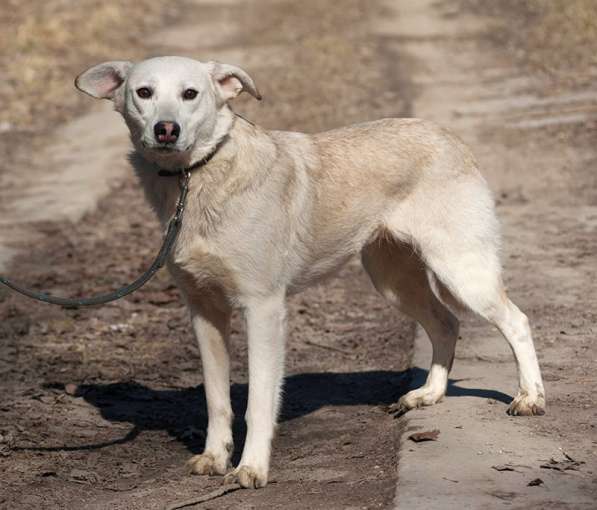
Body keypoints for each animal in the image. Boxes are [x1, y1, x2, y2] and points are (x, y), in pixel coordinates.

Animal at [74, 56, 544, 490]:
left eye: (191, 94)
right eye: (144, 93)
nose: (166, 130)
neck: (198, 179)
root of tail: (449, 137)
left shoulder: (263, 309)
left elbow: (259, 402)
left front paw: (251, 468)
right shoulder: (204, 312)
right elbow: (216, 399)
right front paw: (215, 457)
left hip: (462, 269)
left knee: (516, 321)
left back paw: (529, 398)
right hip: (393, 279)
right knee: (446, 323)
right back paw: (429, 394)